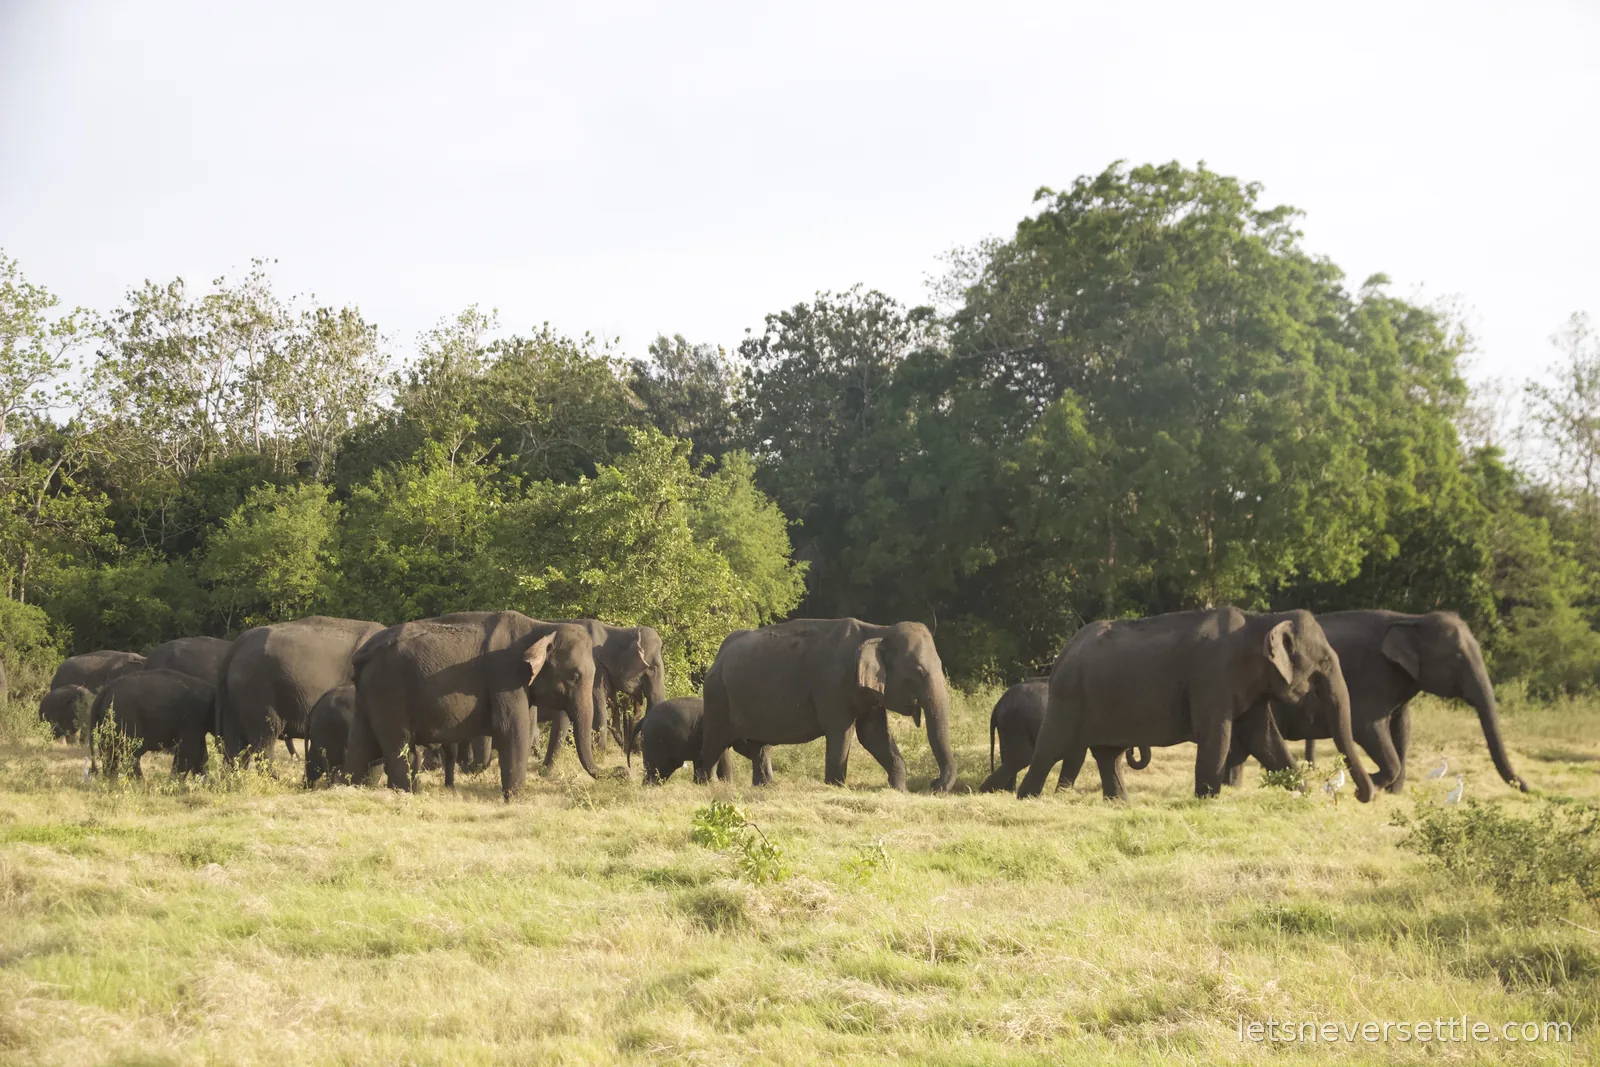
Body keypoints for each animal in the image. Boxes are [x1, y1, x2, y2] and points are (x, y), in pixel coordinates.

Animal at [346, 612, 598, 798]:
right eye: (575, 676)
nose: (611, 773)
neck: (542, 627)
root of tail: (363, 654)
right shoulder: (505, 677)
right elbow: (512, 729)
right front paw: (515, 798)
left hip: (369, 694)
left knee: (361, 742)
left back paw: (353, 787)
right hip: (389, 690)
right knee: (398, 744)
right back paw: (404, 793)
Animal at [698, 618, 958, 792]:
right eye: (919, 671)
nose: (933, 785)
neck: (879, 630)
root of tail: (718, 656)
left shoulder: (868, 693)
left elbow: (874, 735)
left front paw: (898, 790)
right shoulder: (833, 687)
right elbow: (842, 732)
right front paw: (836, 786)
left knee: (758, 745)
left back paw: (766, 786)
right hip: (717, 696)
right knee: (715, 740)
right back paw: (707, 784)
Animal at [978, 680, 1150, 794]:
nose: (1131, 751)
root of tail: (998, 705)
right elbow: (1076, 758)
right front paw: (1062, 794)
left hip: (1008, 727)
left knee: (1009, 758)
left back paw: (1005, 793)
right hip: (1015, 722)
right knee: (1021, 758)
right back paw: (984, 791)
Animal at [1017, 608, 1376, 803]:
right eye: (1323, 664)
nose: (1362, 794)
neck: (1261, 621)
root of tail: (1062, 653)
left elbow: (1264, 738)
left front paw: (1302, 794)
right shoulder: (1213, 676)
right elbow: (1216, 734)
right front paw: (1207, 800)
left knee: (1108, 755)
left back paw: (1120, 804)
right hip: (1068, 696)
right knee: (1051, 749)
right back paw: (1027, 799)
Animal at [1258, 611, 1525, 794]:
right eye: (1457, 657)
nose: (1526, 786)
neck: (1412, 620)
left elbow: (1403, 727)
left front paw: (1392, 791)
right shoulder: (1373, 675)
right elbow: (1366, 726)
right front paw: (1373, 781)